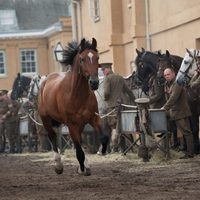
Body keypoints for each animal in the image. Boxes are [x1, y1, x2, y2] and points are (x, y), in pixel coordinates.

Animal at [38, 38, 108, 176]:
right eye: (82, 59)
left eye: (97, 57)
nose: (94, 83)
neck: (77, 95)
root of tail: (46, 80)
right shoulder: (71, 124)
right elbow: (79, 152)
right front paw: (82, 168)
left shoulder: (93, 118)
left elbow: (103, 137)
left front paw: (101, 151)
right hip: (46, 119)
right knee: (52, 137)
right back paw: (58, 166)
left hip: (79, 124)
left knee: (78, 140)